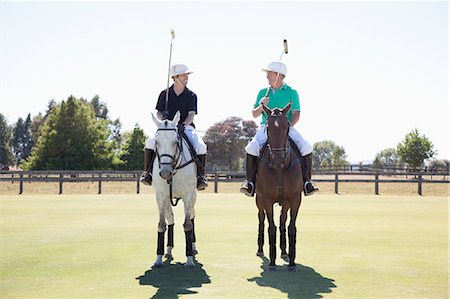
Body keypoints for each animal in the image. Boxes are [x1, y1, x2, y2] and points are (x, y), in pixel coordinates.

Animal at [151, 111, 197, 268]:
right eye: (156, 142)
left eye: (175, 142)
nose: (165, 173)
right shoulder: (160, 195)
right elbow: (161, 224)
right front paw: (158, 259)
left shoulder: (188, 194)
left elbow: (188, 225)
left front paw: (189, 259)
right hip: (167, 199)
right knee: (170, 218)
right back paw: (169, 249)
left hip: (193, 196)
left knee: (192, 216)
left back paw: (193, 247)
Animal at [256, 102, 302, 272]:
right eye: (267, 127)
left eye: (287, 126)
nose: (277, 159)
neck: (280, 169)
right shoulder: (267, 199)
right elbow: (271, 227)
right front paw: (272, 262)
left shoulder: (295, 199)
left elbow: (291, 227)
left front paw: (292, 263)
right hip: (259, 201)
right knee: (261, 220)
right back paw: (260, 249)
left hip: (286, 203)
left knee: (283, 221)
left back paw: (284, 252)